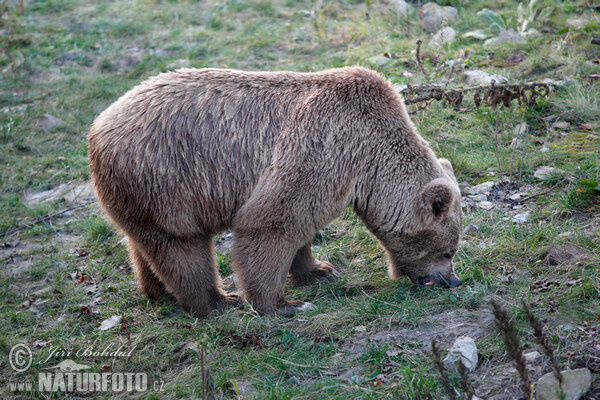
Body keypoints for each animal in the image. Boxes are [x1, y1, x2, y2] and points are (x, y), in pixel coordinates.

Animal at [88, 68, 464, 318]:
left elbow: (300, 228)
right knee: (182, 247)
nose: (453, 280)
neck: (371, 160)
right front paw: (284, 304)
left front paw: (320, 270)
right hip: (164, 178)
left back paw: (157, 291)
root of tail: (98, 128)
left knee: (146, 242)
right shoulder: (325, 145)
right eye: (448, 251)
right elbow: (271, 224)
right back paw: (218, 301)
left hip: (140, 194)